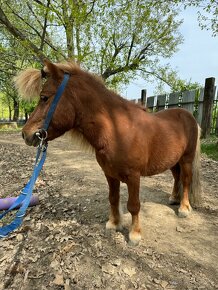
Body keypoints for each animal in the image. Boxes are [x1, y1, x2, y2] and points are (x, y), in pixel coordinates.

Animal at [14, 60, 201, 245]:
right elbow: (113, 198)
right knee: (177, 177)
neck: (117, 131)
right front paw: (114, 223)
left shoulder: (134, 176)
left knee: (185, 180)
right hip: (173, 161)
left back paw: (184, 208)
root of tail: (188, 115)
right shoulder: (110, 174)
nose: (25, 134)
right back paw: (174, 198)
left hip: (186, 159)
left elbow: (134, 205)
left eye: (44, 98)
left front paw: (134, 234)